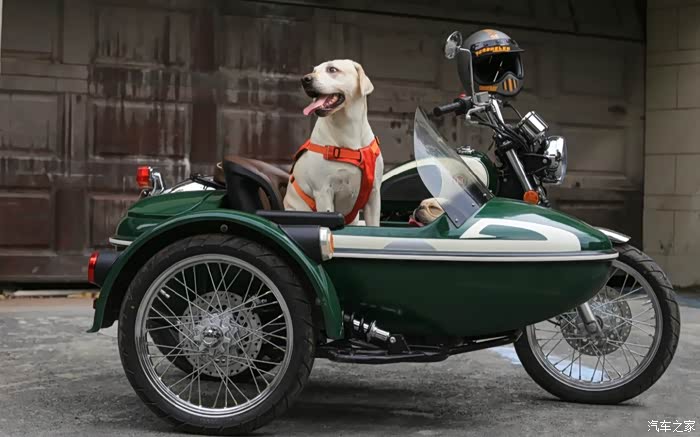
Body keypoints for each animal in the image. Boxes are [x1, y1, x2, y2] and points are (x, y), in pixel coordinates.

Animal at [283, 60, 384, 226]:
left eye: (332, 69)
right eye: (314, 70)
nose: (305, 79)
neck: (348, 129)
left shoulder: (374, 193)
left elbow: (374, 225)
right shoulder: (323, 192)